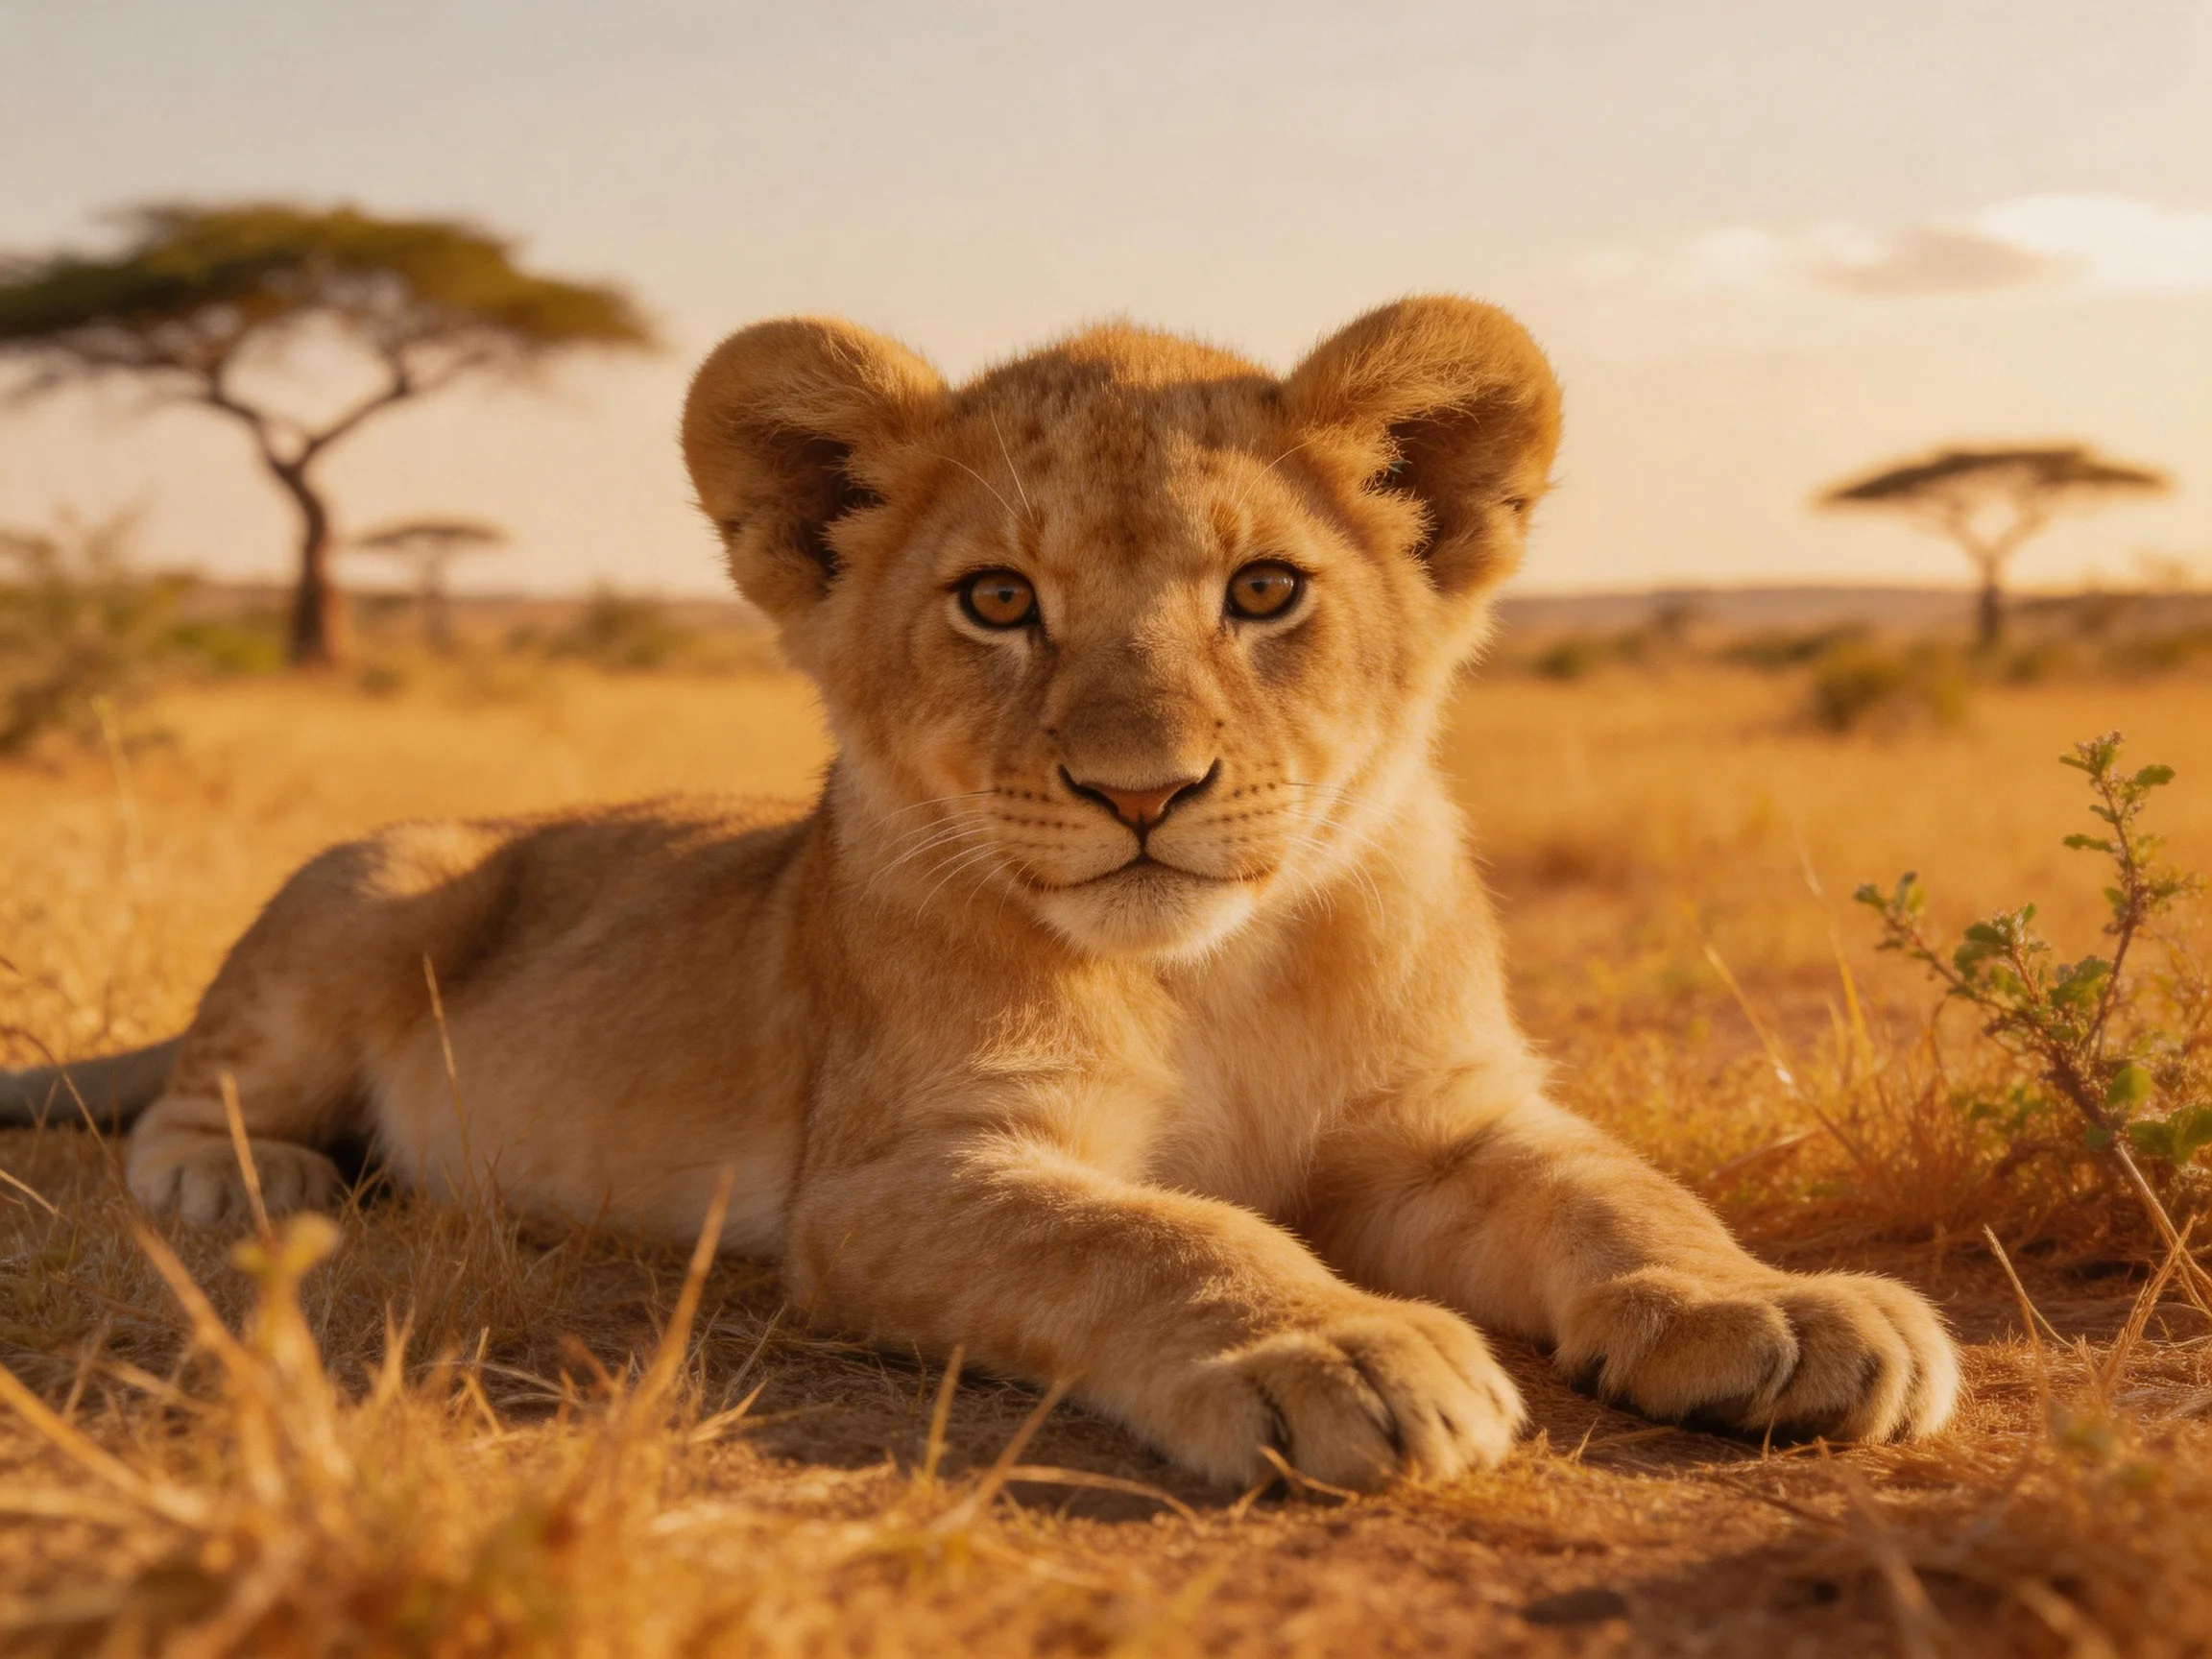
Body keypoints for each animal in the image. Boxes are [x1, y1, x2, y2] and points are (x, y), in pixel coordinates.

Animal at [0, 297, 1959, 1489]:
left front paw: (1785, 1312)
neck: (1215, 972)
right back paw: (250, 1180)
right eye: (998, 601)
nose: (1142, 789)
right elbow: (1154, 1230)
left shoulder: (1452, 1117)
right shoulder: (900, 1173)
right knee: (185, 1091)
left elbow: (1624, 1194)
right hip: (376, 880)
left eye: (1264, 590)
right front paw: (1337, 1342)